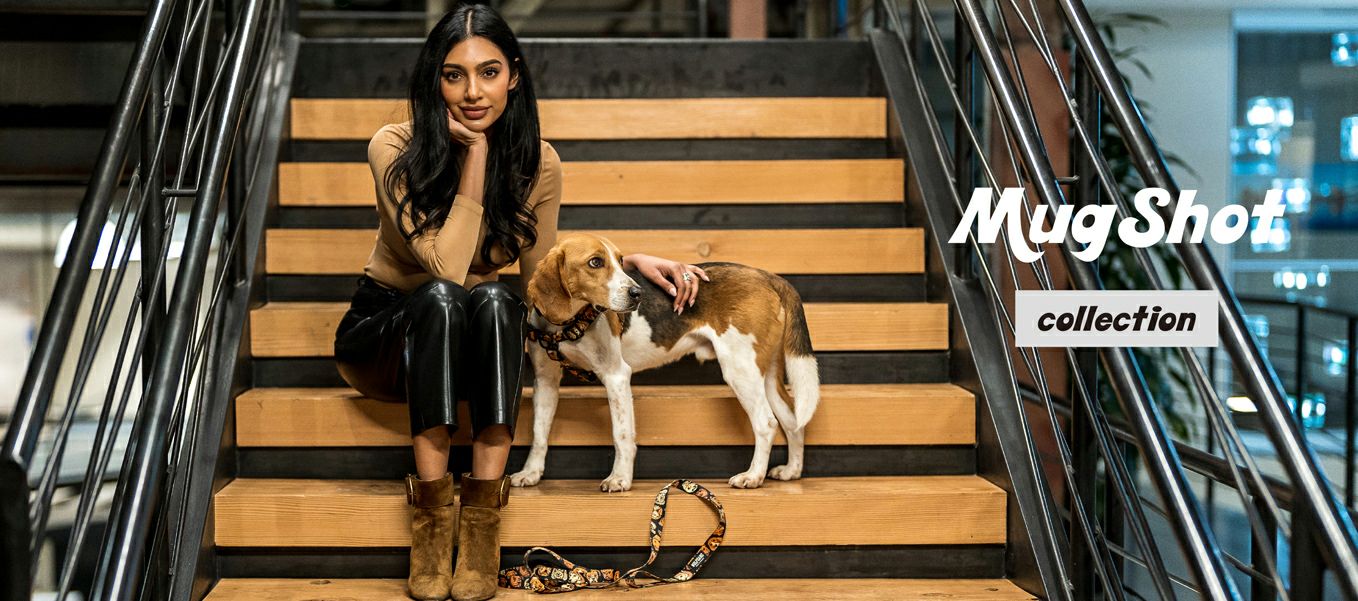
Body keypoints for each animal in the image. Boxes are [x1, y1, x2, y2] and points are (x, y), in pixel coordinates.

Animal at [508, 233, 820, 492]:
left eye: (621, 261)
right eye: (595, 262)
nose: (637, 294)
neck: (569, 323)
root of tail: (766, 275)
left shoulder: (616, 376)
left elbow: (622, 434)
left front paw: (620, 478)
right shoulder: (545, 381)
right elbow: (539, 433)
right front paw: (530, 473)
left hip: (739, 368)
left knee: (766, 422)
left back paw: (753, 476)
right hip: (764, 374)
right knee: (792, 419)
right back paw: (792, 470)